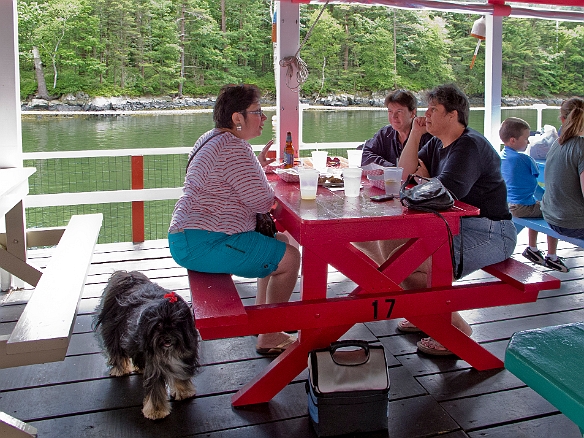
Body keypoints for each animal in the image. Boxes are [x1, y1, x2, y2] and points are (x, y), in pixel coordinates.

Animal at [93, 270, 197, 420]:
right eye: (158, 325)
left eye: (175, 324)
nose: (167, 339)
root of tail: (128, 278)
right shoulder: (154, 367)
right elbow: (155, 391)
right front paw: (156, 412)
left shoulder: (182, 361)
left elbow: (180, 377)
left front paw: (184, 392)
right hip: (115, 335)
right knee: (117, 352)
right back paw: (120, 370)